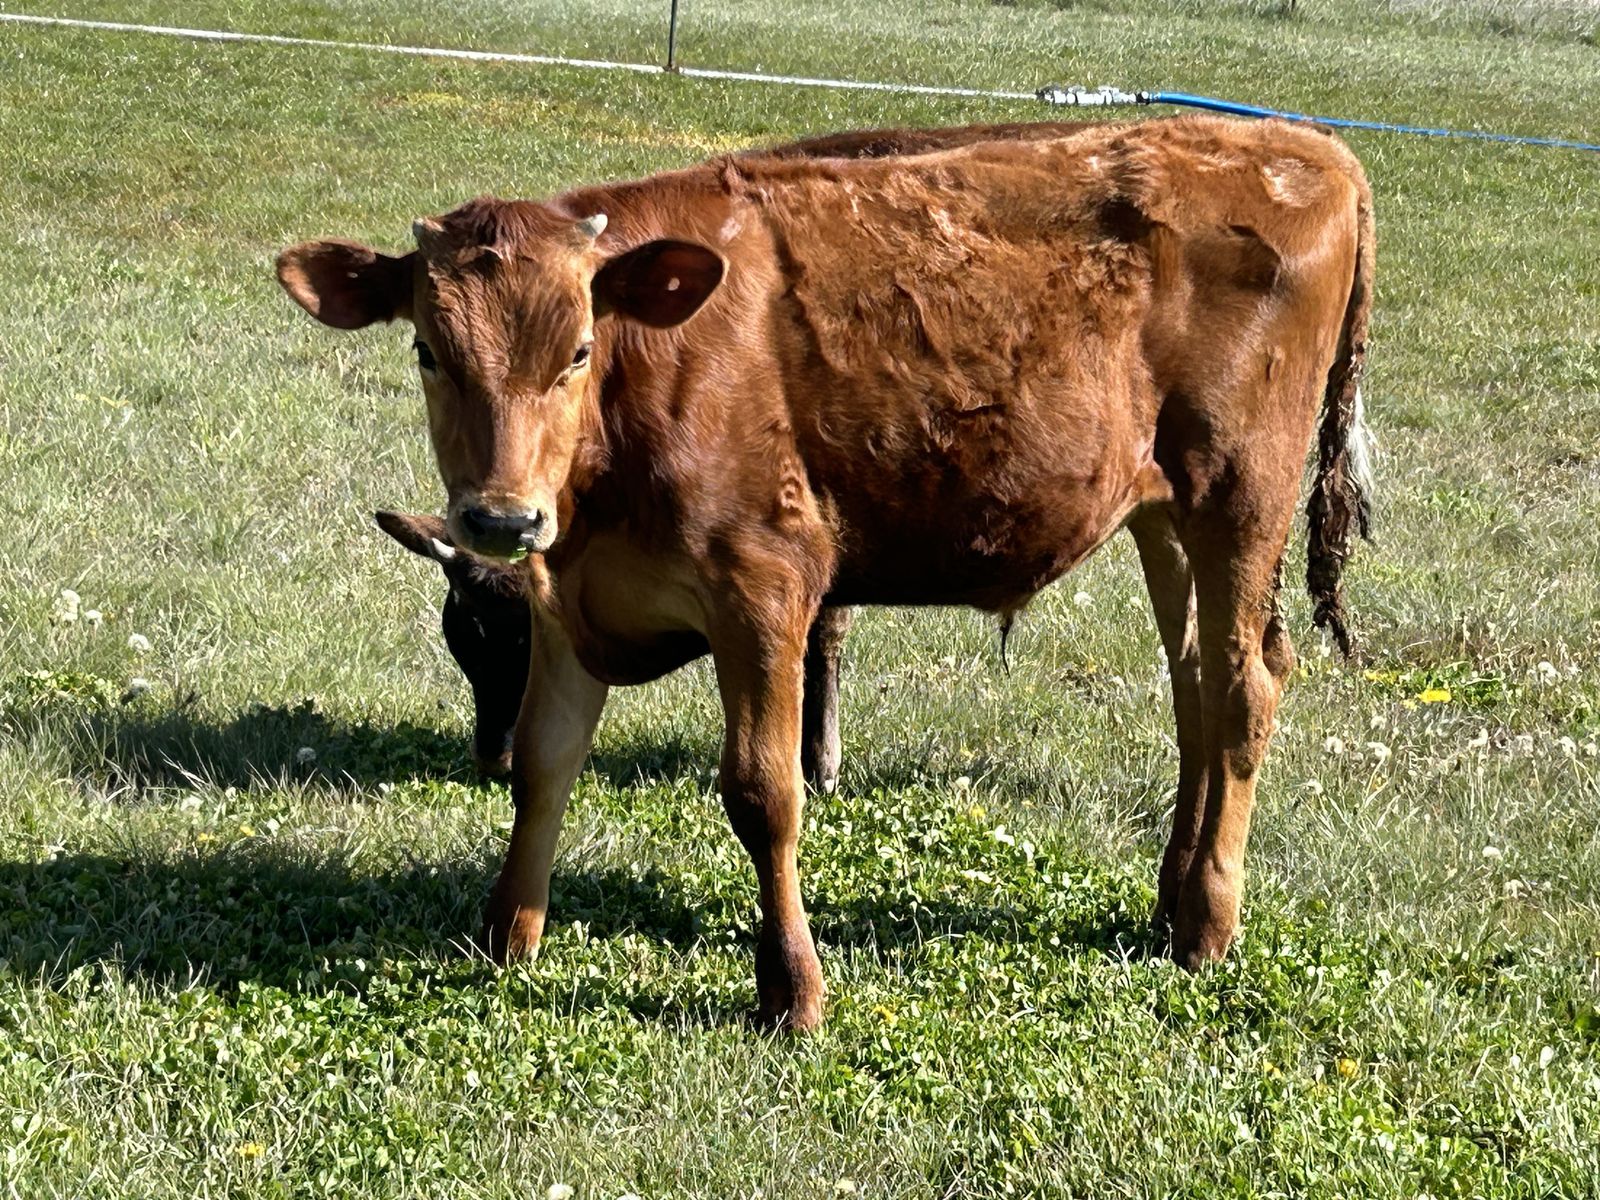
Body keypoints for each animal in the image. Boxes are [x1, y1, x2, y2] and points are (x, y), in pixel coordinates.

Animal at [279, 114, 1375, 1030]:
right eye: (428, 350)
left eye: (580, 347)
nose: (502, 516)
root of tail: (1304, 145)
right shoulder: (568, 600)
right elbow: (547, 766)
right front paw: (509, 934)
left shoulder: (764, 587)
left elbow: (762, 794)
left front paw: (790, 989)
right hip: (1164, 515)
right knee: (1195, 691)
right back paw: (1171, 896)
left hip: (1240, 492)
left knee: (1245, 687)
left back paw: (1208, 924)